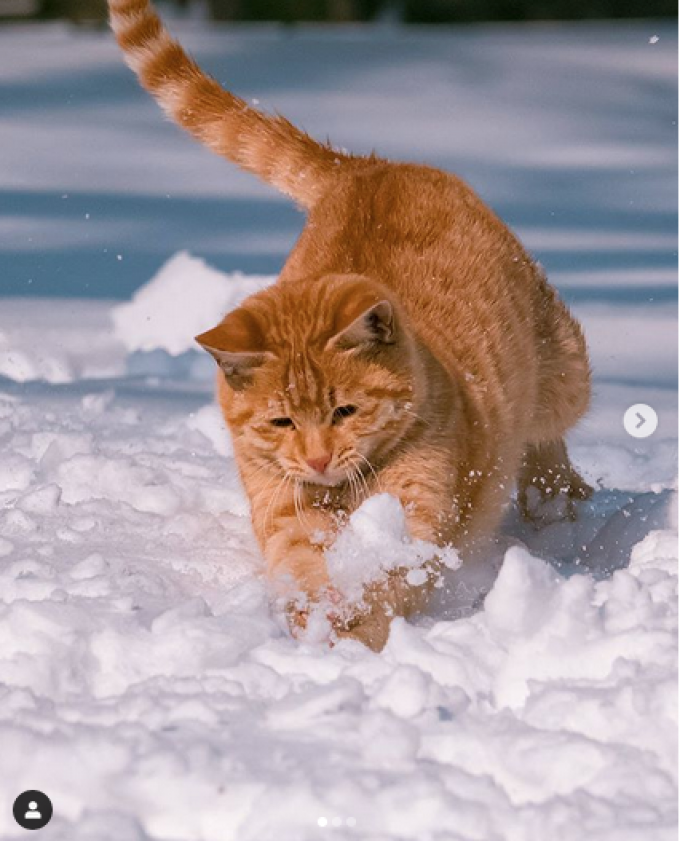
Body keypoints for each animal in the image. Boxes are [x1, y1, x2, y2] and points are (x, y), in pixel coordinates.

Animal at [107, 0, 588, 648]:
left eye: (345, 411)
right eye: (282, 421)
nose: (316, 460)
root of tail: (368, 169)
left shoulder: (419, 510)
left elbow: (390, 572)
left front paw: (361, 627)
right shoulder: (283, 509)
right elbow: (303, 567)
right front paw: (315, 623)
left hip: (562, 371)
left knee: (546, 431)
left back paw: (555, 498)